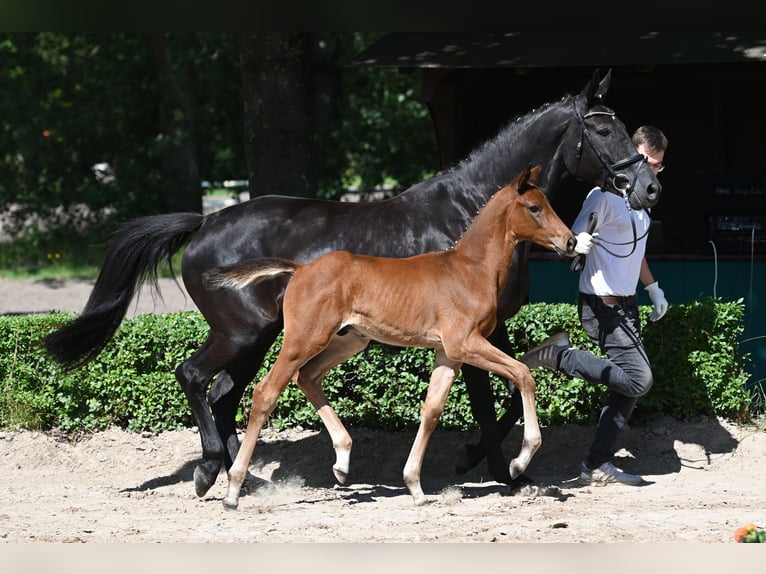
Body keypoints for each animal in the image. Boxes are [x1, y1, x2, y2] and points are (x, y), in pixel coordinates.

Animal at [204, 165, 576, 508]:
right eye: (534, 207)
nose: (570, 241)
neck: (470, 270)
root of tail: (301, 269)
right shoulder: (465, 343)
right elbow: (523, 374)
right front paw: (518, 462)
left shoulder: (449, 353)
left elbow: (432, 410)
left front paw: (415, 486)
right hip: (304, 339)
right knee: (266, 392)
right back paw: (233, 489)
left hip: (350, 340)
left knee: (306, 377)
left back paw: (342, 462)